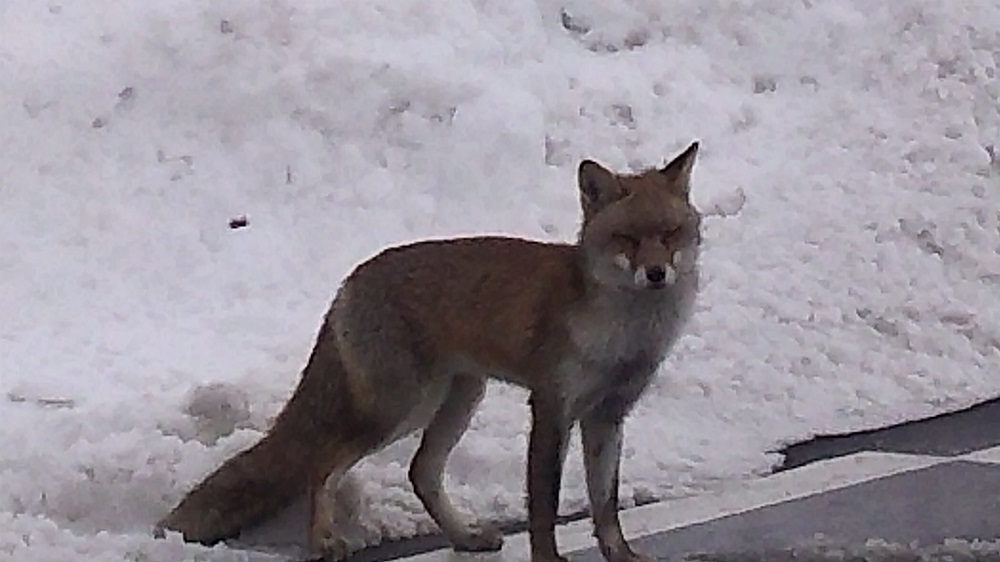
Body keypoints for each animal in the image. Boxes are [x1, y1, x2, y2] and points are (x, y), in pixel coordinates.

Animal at [158, 141, 704, 562]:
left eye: (670, 234)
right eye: (627, 238)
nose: (657, 273)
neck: (624, 335)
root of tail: (350, 281)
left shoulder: (608, 414)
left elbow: (605, 504)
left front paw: (622, 556)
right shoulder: (552, 407)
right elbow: (544, 506)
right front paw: (548, 560)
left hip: (457, 399)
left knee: (420, 472)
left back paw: (462, 537)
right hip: (397, 409)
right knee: (322, 463)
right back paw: (324, 542)